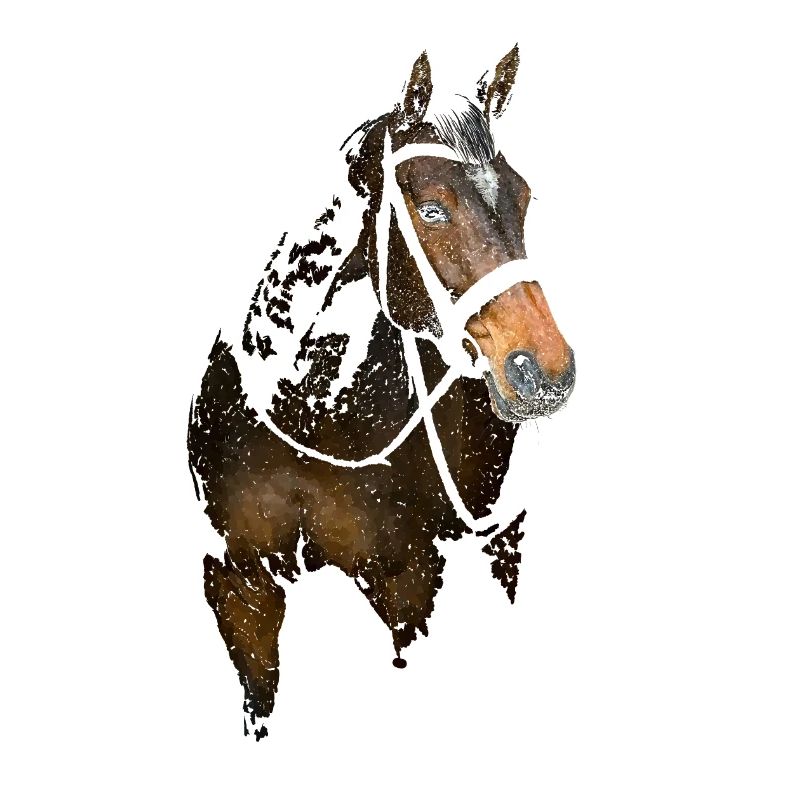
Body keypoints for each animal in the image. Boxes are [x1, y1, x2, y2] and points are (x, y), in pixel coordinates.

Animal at [188, 46, 576, 739]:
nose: (547, 370)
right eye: (432, 209)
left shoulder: (408, 582)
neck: (310, 417)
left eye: (524, 197)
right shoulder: (237, 582)